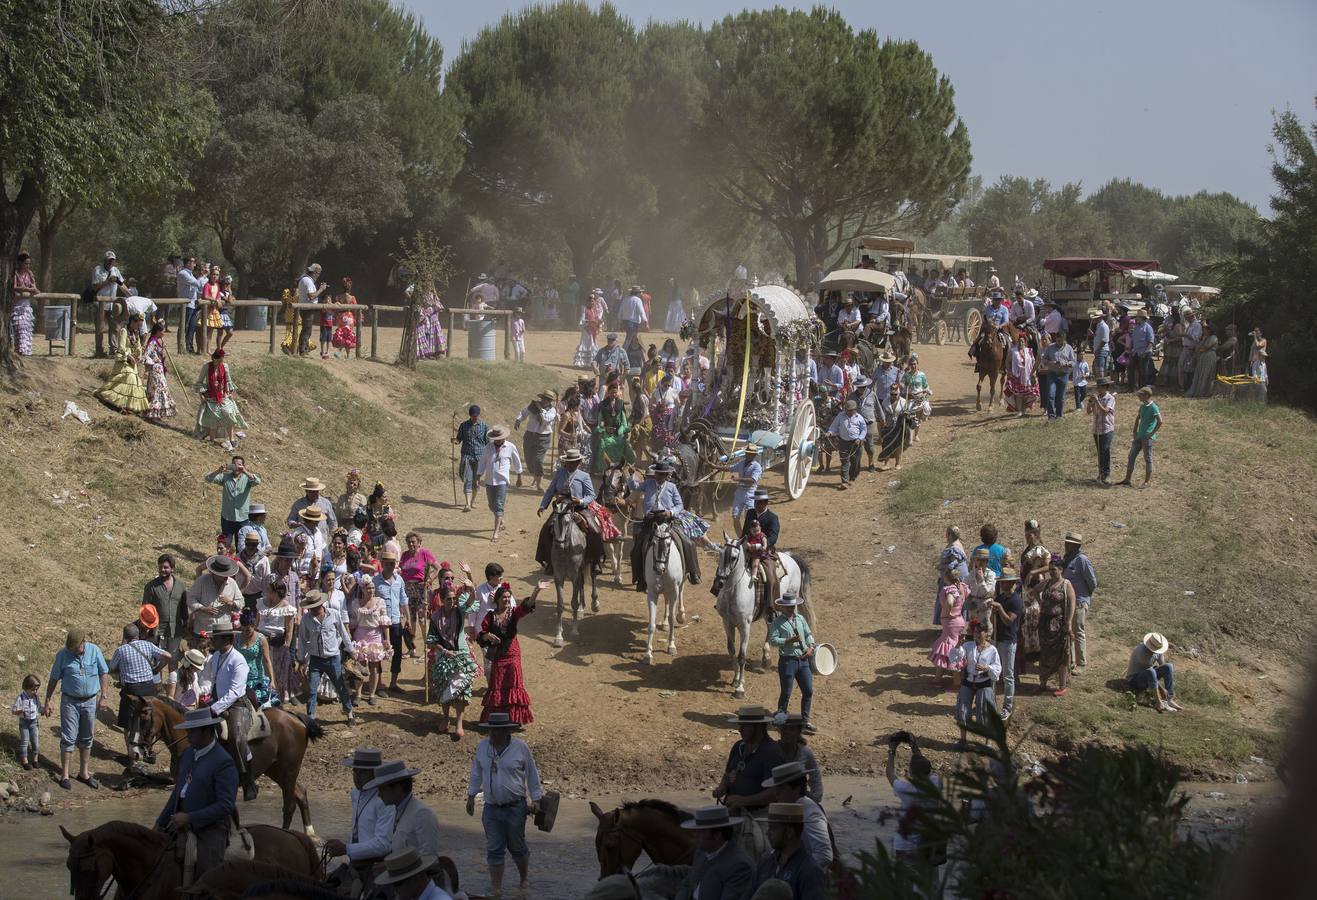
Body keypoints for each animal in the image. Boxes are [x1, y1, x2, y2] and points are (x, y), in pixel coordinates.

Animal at [139, 695, 326, 838]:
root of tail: (293, 717)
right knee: (300, 793)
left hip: (289, 769)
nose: (140, 749)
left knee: (289, 805)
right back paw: (310, 834)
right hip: (275, 769)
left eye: (146, 717)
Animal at [642, 521, 684, 661]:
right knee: (666, 600)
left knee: (681, 591)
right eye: (653, 543)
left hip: (680, 584)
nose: (659, 569)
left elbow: (672, 619)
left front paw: (671, 646)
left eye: (668, 543)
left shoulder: (674, 591)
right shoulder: (652, 593)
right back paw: (664, 622)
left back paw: (681, 614)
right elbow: (651, 624)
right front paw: (648, 653)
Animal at [711, 537, 811, 701]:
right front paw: (735, 679)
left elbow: (742, 656)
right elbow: (732, 651)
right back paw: (766, 658)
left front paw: (740, 688)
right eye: (720, 554)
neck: (734, 591)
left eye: (733, 557)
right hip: (767, 612)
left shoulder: (745, 626)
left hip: (792, 603)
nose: (719, 583)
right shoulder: (727, 623)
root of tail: (790, 556)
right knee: (770, 628)